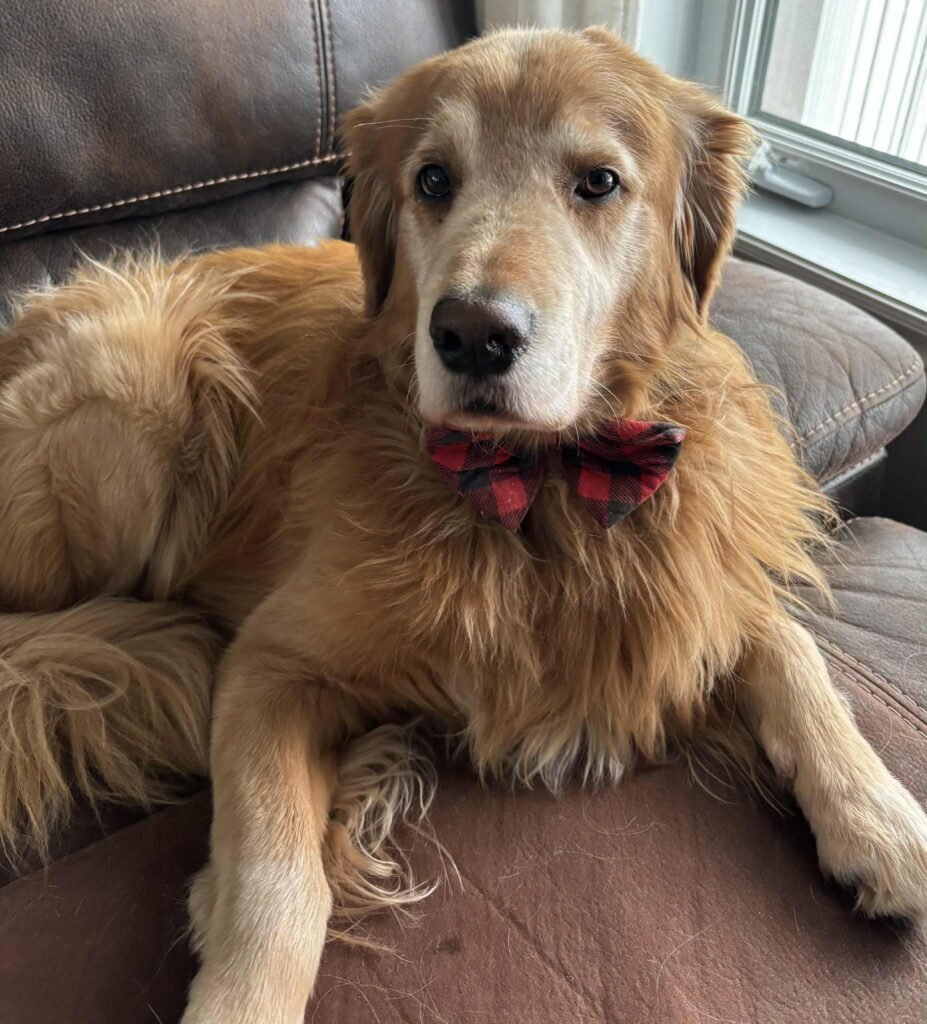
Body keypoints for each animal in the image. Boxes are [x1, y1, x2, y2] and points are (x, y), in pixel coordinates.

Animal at [1, 26, 925, 1024]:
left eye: (599, 182)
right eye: (433, 180)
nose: (473, 334)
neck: (543, 482)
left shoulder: (692, 592)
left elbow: (793, 651)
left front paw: (879, 818)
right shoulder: (268, 665)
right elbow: (277, 879)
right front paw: (239, 990)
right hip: (137, 383)